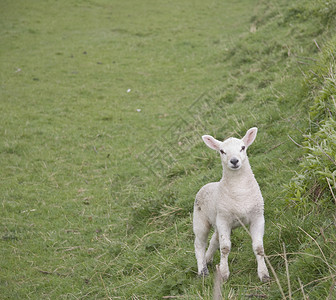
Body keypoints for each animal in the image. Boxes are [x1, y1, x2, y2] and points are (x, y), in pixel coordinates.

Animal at [193, 127, 270, 282]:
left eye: (243, 147)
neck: (239, 191)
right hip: (200, 220)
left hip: (217, 220)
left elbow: (258, 247)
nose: (234, 161)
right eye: (222, 151)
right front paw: (223, 274)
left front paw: (264, 274)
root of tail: (207, 185)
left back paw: (208, 259)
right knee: (199, 244)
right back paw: (202, 270)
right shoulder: (224, 219)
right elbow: (225, 248)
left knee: (214, 240)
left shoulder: (258, 216)